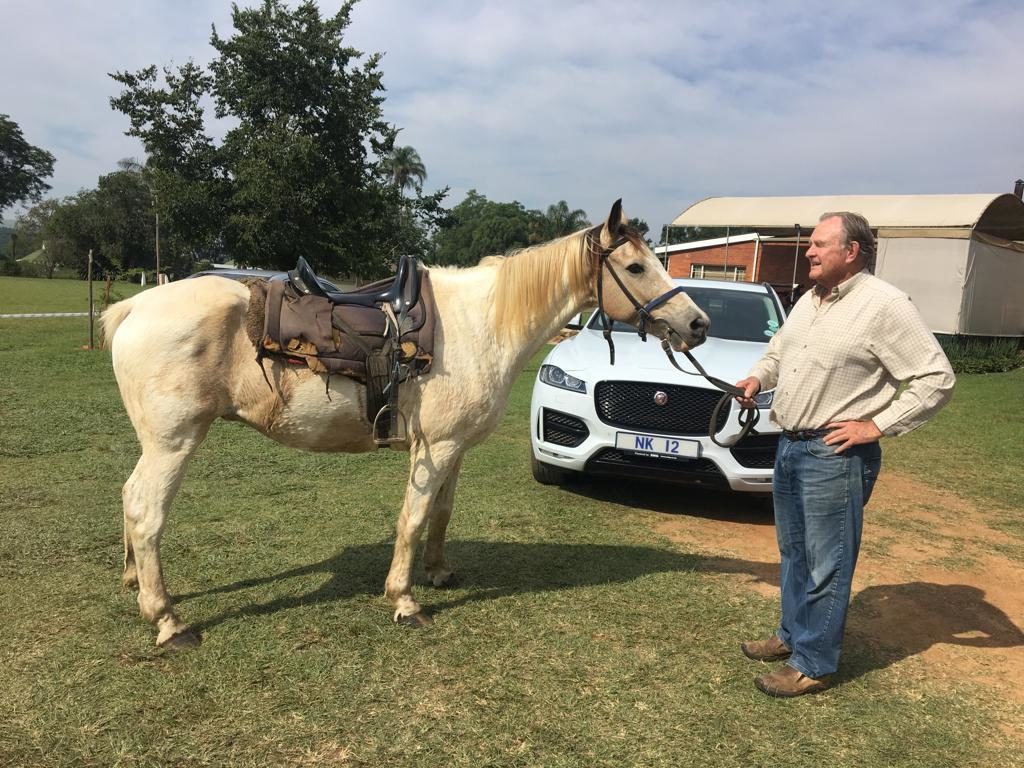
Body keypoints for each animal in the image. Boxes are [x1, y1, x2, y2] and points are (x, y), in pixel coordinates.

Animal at [105, 199, 712, 651]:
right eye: (635, 267)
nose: (697, 324)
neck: (482, 324)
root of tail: (135, 308)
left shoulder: (454, 448)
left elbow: (441, 513)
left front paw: (439, 573)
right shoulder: (435, 447)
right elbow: (414, 519)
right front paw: (404, 600)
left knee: (129, 498)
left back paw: (134, 581)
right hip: (174, 442)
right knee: (146, 510)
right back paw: (166, 619)